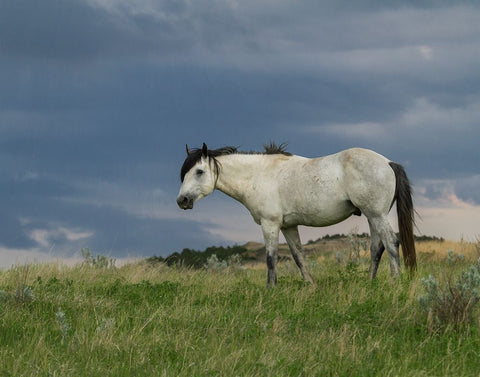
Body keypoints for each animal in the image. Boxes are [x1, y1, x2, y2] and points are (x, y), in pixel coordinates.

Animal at [177, 142, 416, 286]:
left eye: (199, 171)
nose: (182, 201)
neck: (259, 175)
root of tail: (388, 162)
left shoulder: (270, 224)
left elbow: (271, 257)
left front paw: (270, 289)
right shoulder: (288, 226)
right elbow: (298, 256)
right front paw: (310, 285)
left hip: (377, 215)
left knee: (391, 243)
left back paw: (395, 282)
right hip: (372, 216)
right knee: (377, 248)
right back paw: (370, 283)